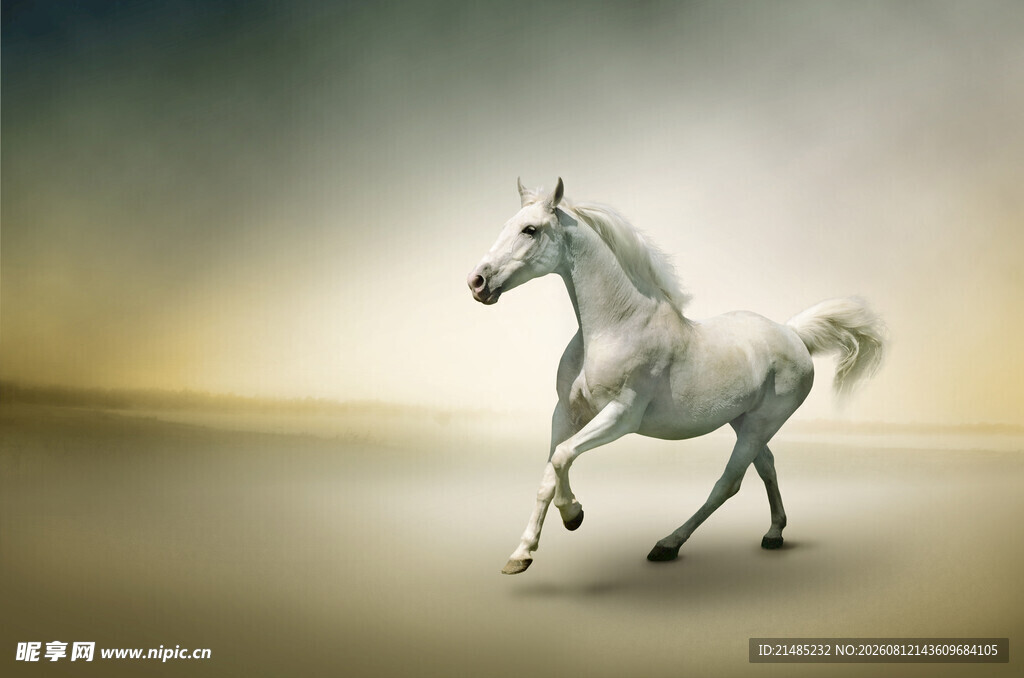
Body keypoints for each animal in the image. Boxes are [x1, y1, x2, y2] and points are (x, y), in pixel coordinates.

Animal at [467, 178, 886, 575]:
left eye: (530, 230)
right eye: (507, 225)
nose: (477, 282)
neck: (615, 327)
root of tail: (793, 334)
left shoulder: (621, 416)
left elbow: (562, 458)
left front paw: (574, 515)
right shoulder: (566, 413)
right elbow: (549, 471)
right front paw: (521, 555)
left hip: (761, 424)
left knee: (728, 483)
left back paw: (668, 544)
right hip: (743, 420)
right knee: (766, 466)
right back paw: (774, 533)